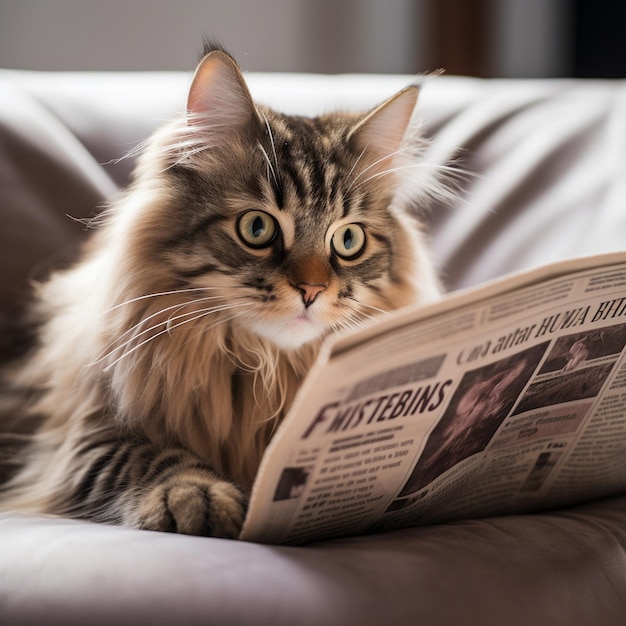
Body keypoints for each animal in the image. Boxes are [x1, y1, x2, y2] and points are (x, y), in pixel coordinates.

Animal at [0, 44, 446, 536]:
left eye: (348, 240)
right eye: (257, 228)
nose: (311, 289)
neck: (266, 370)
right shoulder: (82, 436)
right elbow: (150, 456)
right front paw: (197, 496)